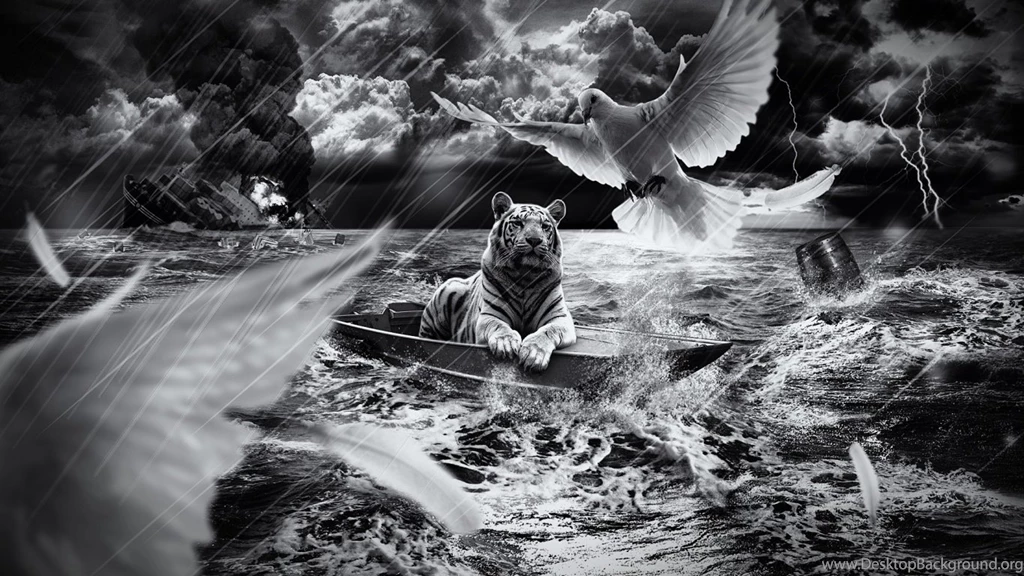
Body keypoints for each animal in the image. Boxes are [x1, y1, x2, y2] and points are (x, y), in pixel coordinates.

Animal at [419, 191, 576, 372]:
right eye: (518, 223)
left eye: (544, 226)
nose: (534, 240)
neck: (525, 274)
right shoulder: (489, 315)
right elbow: (498, 326)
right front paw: (506, 343)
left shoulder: (560, 318)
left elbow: (547, 331)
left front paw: (534, 353)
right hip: (450, 288)